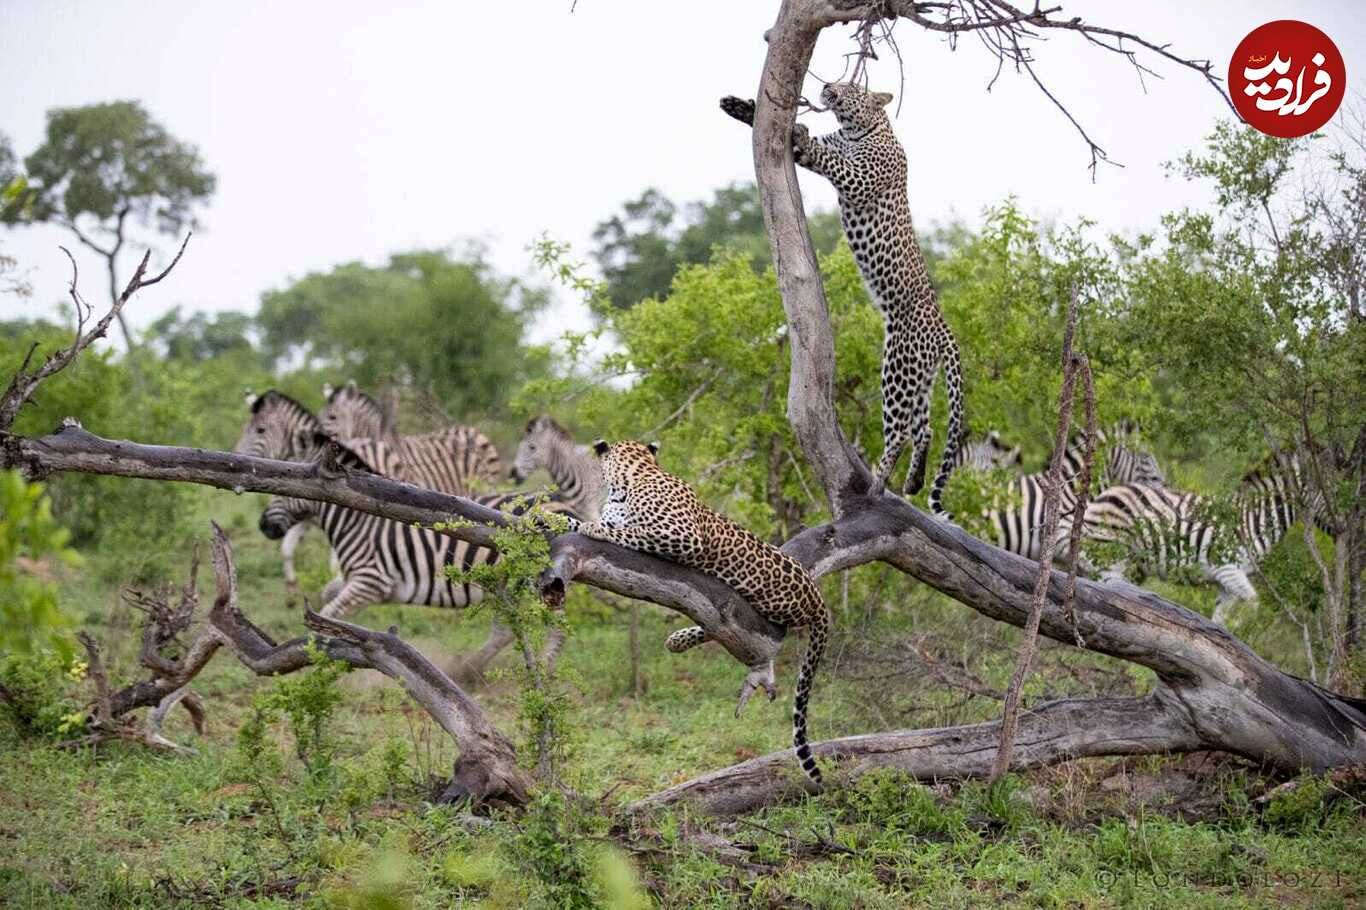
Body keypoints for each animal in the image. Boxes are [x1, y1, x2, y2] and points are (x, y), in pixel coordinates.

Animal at [568, 437, 830, 781]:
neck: (632, 478)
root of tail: (816, 595)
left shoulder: (682, 536)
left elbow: (628, 532)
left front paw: (592, 528)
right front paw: (547, 517)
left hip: (773, 603)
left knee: (760, 629)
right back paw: (678, 640)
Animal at [721, 81, 967, 513]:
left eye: (852, 87)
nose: (826, 86)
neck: (857, 130)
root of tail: (943, 328)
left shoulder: (856, 176)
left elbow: (827, 158)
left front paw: (800, 131)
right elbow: (796, 140)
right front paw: (739, 106)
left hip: (897, 366)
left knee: (900, 431)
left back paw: (878, 484)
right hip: (920, 375)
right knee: (925, 428)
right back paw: (913, 481)